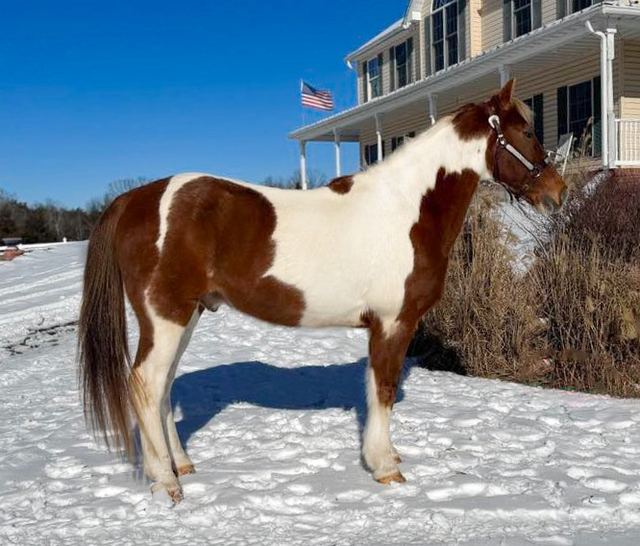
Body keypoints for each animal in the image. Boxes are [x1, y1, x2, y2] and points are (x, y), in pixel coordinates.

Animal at [78, 80, 567, 503]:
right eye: (526, 130)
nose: (557, 192)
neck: (406, 209)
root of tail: (135, 198)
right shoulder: (393, 324)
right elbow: (382, 390)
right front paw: (385, 466)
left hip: (185, 316)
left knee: (162, 388)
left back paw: (181, 465)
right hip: (166, 317)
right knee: (146, 384)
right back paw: (166, 484)